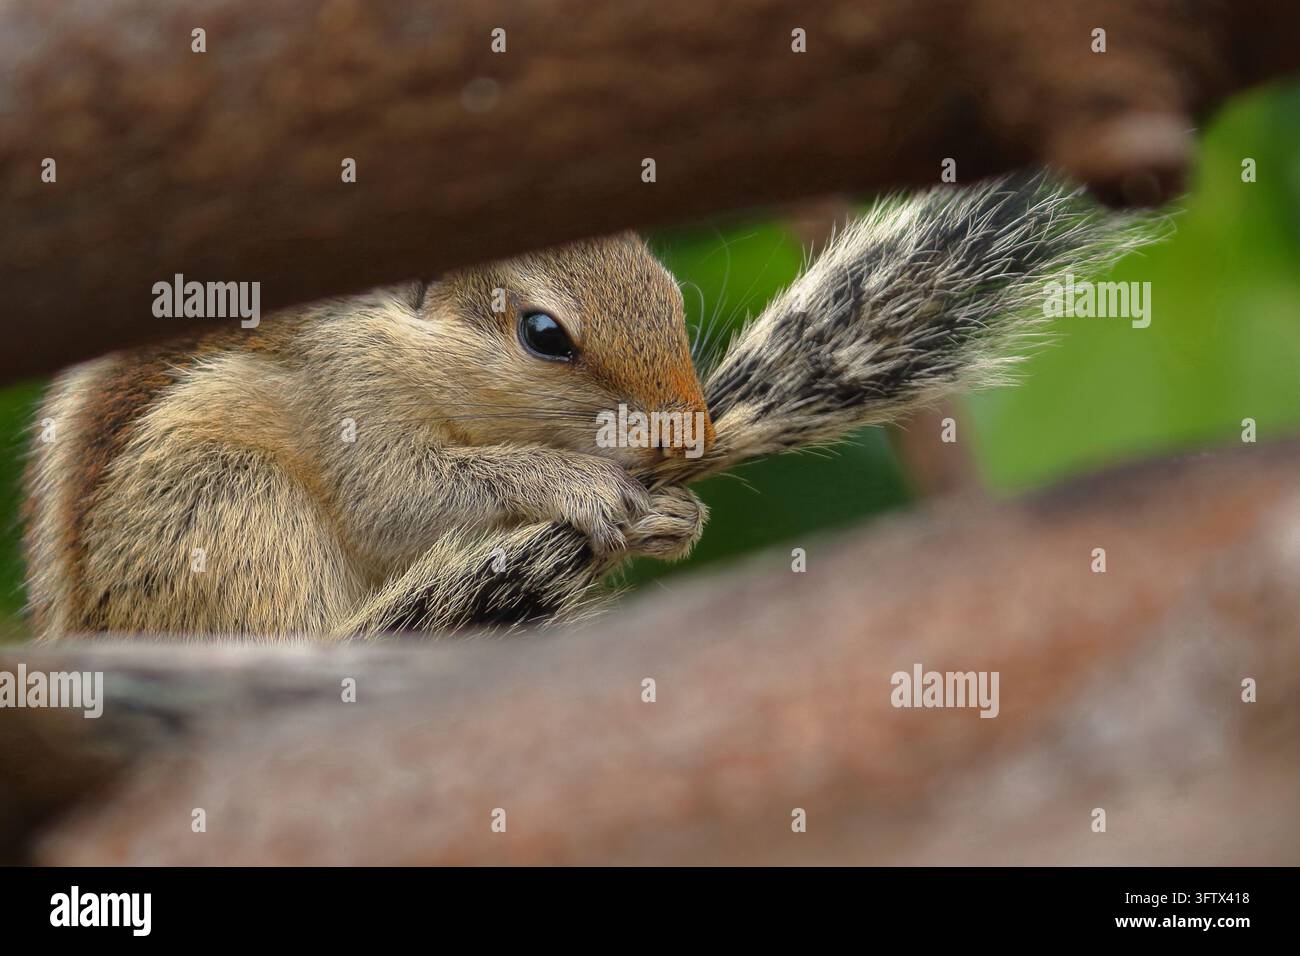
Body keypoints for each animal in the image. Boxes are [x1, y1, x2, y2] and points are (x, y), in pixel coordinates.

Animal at [22, 172, 1156, 640]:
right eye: (543, 333)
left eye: (664, 287)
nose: (688, 436)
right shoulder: (349, 399)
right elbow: (404, 498)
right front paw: (578, 486)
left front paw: (676, 516)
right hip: (223, 507)